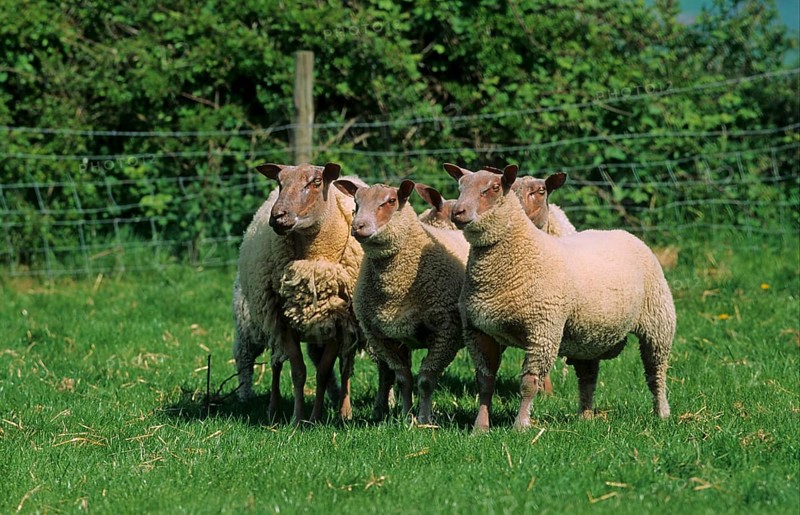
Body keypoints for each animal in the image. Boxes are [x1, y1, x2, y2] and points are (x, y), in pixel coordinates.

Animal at [234, 162, 372, 424]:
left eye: (316, 182)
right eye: (279, 182)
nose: (278, 216)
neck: (315, 261)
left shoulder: (338, 322)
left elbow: (324, 372)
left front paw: (316, 417)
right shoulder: (283, 321)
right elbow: (298, 372)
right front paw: (298, 420)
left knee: (345, 365)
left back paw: (344, 410)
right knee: (276, 363)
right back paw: (273, 409)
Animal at [333, 179, 470, 424]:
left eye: (390, 201)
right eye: (356, 202)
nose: (358, 226)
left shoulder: (446, 332)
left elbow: (426, 380)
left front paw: (424, 420)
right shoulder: (381, 337)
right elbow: (404, 379)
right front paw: (406, 418)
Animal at [444, 163, 675, 431]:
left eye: (493, 188)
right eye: (460, 187)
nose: (458, 212)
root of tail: (624, 233)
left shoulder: (543, 329)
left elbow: (529, 384)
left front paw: (520, 426)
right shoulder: (478, 331)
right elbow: (485, 383)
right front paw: (479, 428)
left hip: (658, 322)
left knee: (655, 373)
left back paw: (662, 413)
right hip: (589, 334)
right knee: (588, 376)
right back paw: (585, 416)